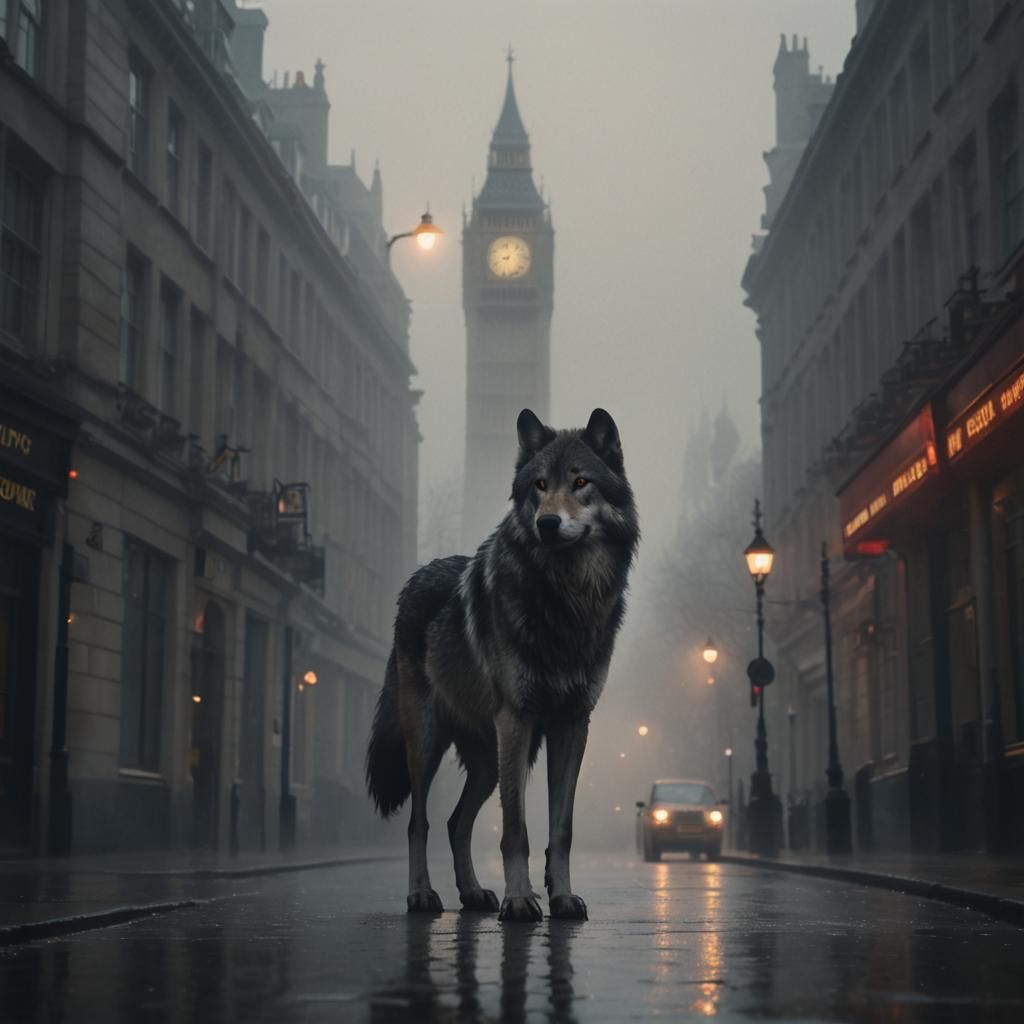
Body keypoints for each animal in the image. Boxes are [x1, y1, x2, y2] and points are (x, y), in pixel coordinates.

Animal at [366, 407, 639, 921]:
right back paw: (422, 895)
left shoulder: (572, 724)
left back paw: (473, 894)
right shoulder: (517, 719)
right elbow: (516, 829)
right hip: (429, 743)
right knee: (419, 823)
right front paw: (518, 899)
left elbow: (561, 830)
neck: (566, 600)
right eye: (538, 484)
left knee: (456, 822)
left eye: (580, 481)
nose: (548, 523)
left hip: (489, 761)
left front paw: (561, 897)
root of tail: (414, 579)